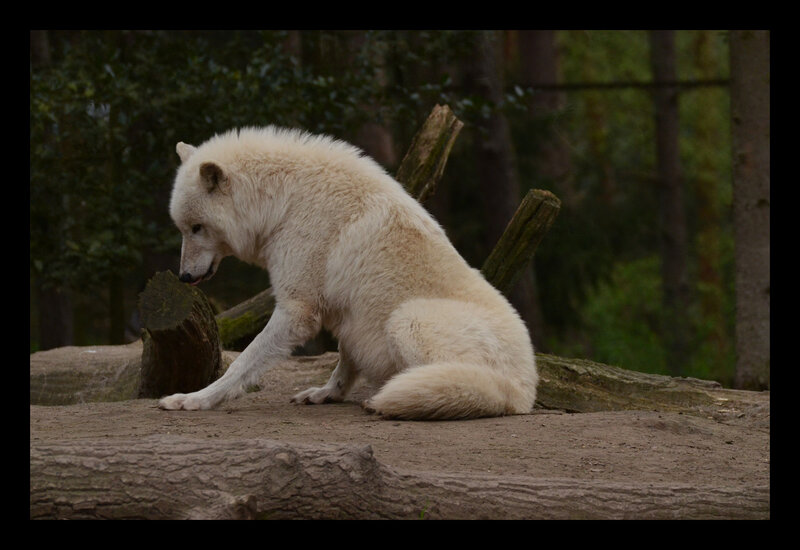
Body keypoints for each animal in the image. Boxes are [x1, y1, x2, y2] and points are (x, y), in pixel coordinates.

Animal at [158, 127, 538, 420]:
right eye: (183, 228)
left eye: (196, 228)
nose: (184, 277)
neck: (284, 202)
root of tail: (523, 390)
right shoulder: (347, 313)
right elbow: (344, 362)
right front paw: (326, 393)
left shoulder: (298, 310)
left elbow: (242, 363)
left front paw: (194, 399)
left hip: (406, 320)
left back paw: (389, 400)